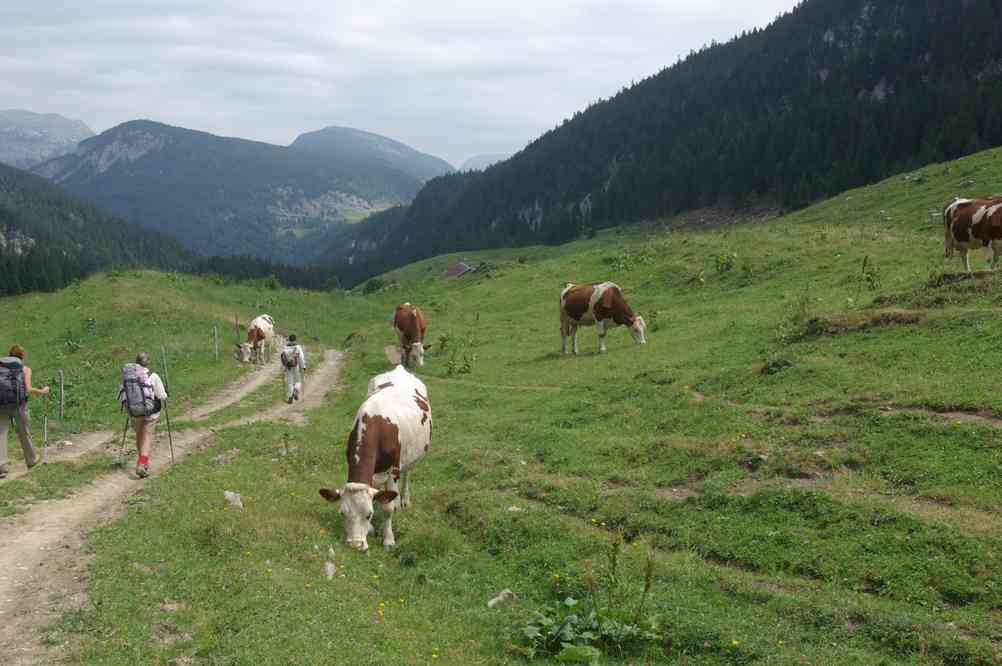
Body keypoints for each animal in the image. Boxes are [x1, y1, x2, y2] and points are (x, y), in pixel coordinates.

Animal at [319, 365, 431, 551]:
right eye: (342, 513)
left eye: (369, 514)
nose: (355, 545)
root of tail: (400, 368)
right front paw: (371, 529)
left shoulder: (393, 469)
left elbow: (387, 508)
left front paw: (388, 539)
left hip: (411, 456)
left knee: (407, 474)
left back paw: (404, 500)